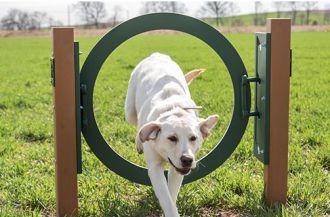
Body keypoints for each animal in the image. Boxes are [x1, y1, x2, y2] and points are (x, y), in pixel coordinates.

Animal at [125, 53, 218, 217]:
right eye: (172, 138)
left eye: (193, 138)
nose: (187, 160)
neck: (174, 109)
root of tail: (156, 54)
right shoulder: (155, 168)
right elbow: (165, 197)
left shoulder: (177, 170)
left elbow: (171, 194)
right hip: (129, 110)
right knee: (137, 124)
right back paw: (139, 140)